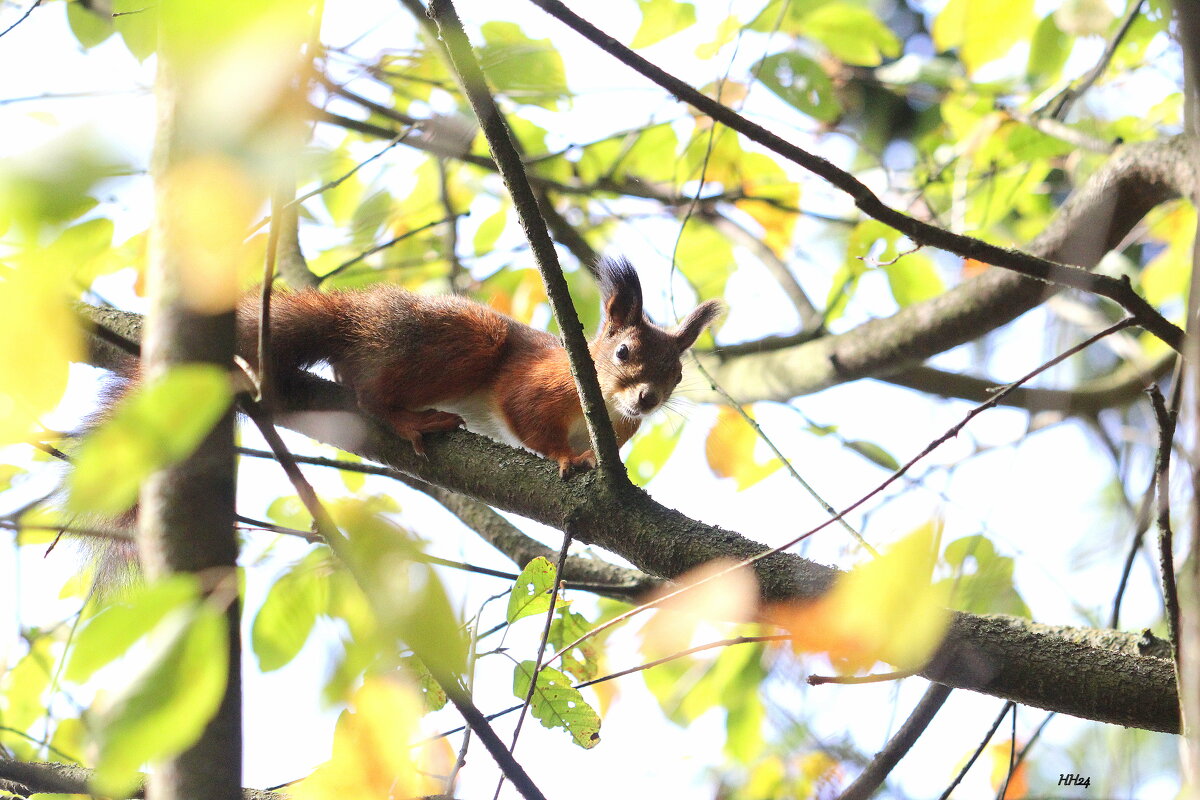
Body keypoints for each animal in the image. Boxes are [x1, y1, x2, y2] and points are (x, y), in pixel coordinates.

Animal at [238, 257, 715, 474]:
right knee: (369, 398)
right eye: (624, 353)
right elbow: (527, 416)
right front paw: (566, 456)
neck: (606, 411)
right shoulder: (538, 385)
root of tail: (355, 319)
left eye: (677, 376)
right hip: (469, 343)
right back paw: (411, 420)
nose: (648, 399)